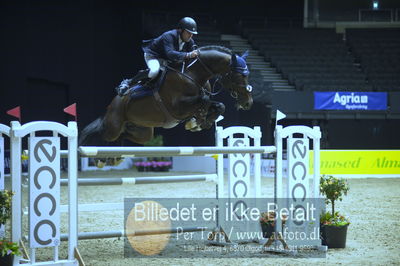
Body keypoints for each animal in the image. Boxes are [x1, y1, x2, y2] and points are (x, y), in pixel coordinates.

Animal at [79, 45, 253, 145]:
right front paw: (198, 122)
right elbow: (203, 100)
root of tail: (113, 104)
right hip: (112, 128)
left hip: (143, 133)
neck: (194, 74)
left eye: (247, 75)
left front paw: (199, 122)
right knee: (101, 133)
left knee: (124, 136)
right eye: (238, 76)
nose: (248, 103)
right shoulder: (178, 108)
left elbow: (218, 106)